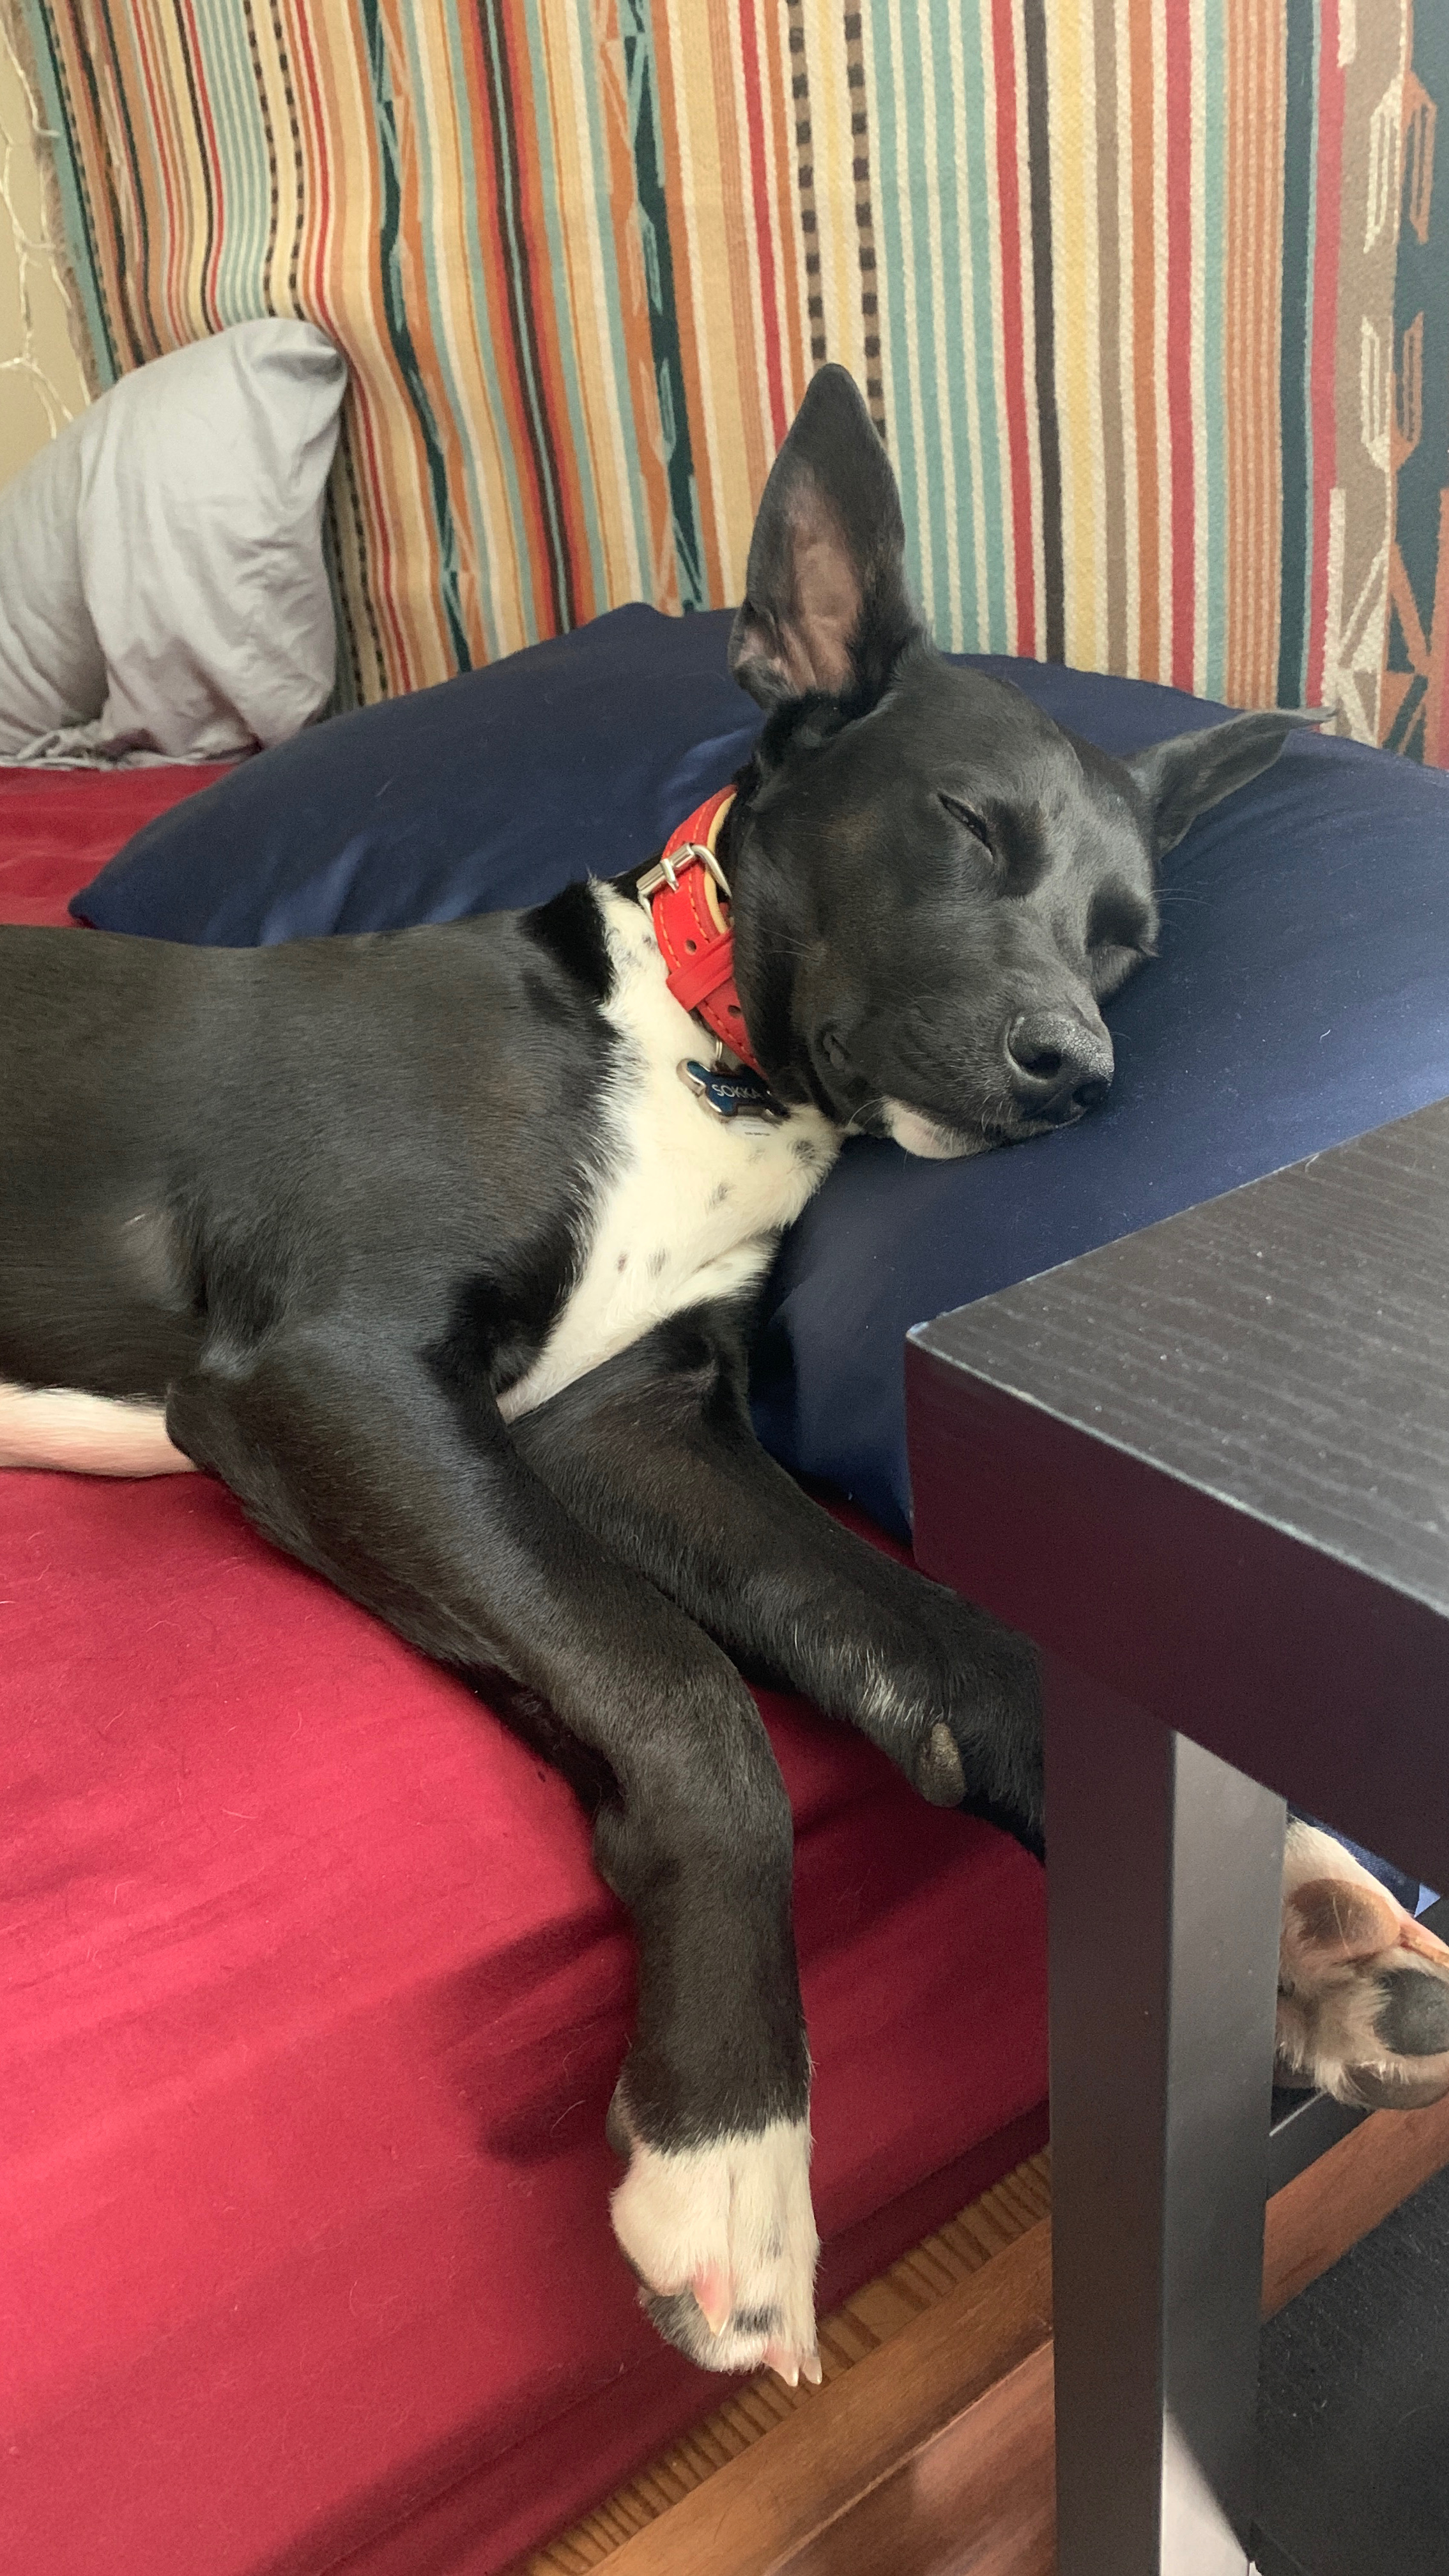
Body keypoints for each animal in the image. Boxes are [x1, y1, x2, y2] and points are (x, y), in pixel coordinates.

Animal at [3, 368, 1443, 2390]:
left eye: (1129, 943)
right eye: (967, 826)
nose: (1076, 1075)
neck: (699, 1057)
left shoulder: (612, 1428)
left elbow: (944, 1644)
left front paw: (1301, 1902)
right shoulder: (332, 1376)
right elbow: (686, 1693)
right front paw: (735, 2155)